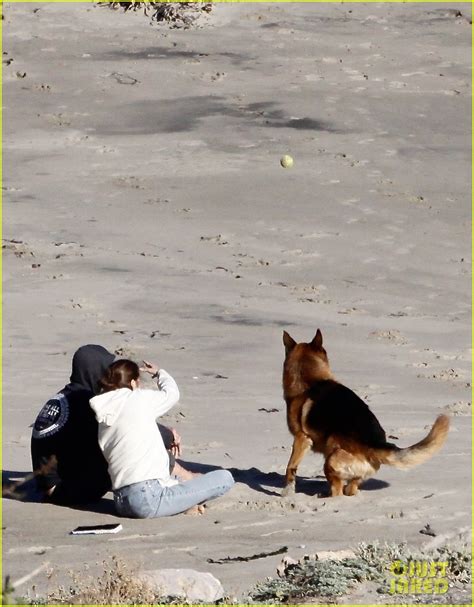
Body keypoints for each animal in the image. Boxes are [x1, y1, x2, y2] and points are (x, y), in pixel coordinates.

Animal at [284, 330, 450, 496]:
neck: (310, 381)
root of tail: (374, 446)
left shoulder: (301, 438)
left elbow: (290, 466)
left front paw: (287, 490)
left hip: (330, 461)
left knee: (338, 490)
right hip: (356, 473)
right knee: (351, 489)